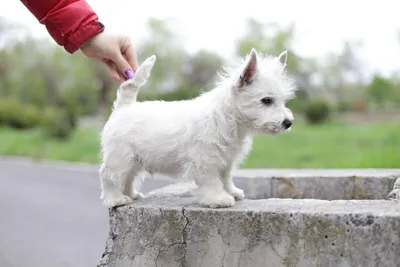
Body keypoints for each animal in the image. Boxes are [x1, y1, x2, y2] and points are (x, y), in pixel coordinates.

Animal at [100, 49, 296, 210]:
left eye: (283, 100)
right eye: (266, 100)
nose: (288, 122)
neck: (227, 119)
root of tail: (125, 107)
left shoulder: (226, 160)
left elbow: (226, 177)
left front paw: (232, 192)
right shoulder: (206, 160)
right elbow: (212, 181)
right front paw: (218, 199)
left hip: (134, 160)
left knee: (128, 177)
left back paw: (131, 195)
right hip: (120, 157)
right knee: (109, 176)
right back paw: (116, 199)